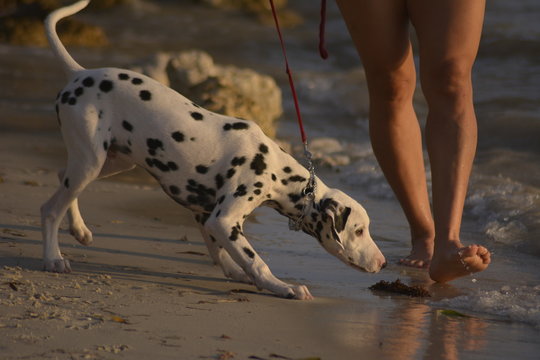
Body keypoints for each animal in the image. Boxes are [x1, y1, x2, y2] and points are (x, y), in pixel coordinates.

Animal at [42, 0, 386, 298]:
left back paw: (79, 229)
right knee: (50, 208)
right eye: (358, 231)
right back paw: (53, 258)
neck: (276, 170)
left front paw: (235, 272)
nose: (383, 263)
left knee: (61, 177)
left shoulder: (206, 214)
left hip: (109, 161)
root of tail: (79, 73)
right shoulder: (224, 220)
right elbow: (257, 261)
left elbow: (220, 252)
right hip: (91, 161)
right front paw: (282, 287)